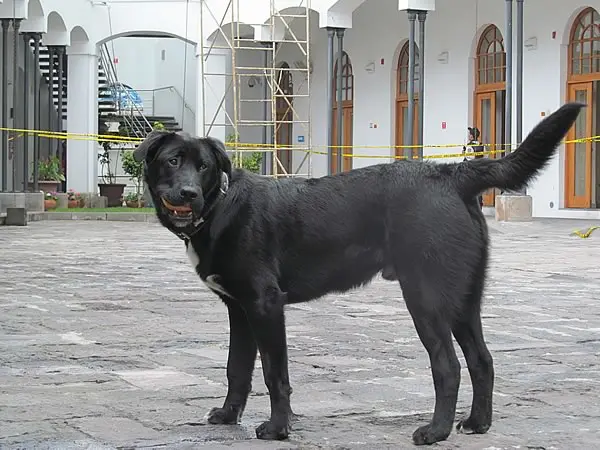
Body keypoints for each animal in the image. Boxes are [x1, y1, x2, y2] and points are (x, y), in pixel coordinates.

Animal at [134, 103, 584, 444]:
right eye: (173, 161)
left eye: (205, 167)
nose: (189, 193)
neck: (219, 209)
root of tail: (451, 174)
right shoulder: (239, 310)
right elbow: (236, 369)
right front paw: (229, 417)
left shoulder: (265, 305)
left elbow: (274, 373)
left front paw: (278, 429)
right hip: (462, 299)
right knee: (482, 360)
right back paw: (477, 423)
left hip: (426, 298)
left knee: (448, 365)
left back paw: (434, 431)